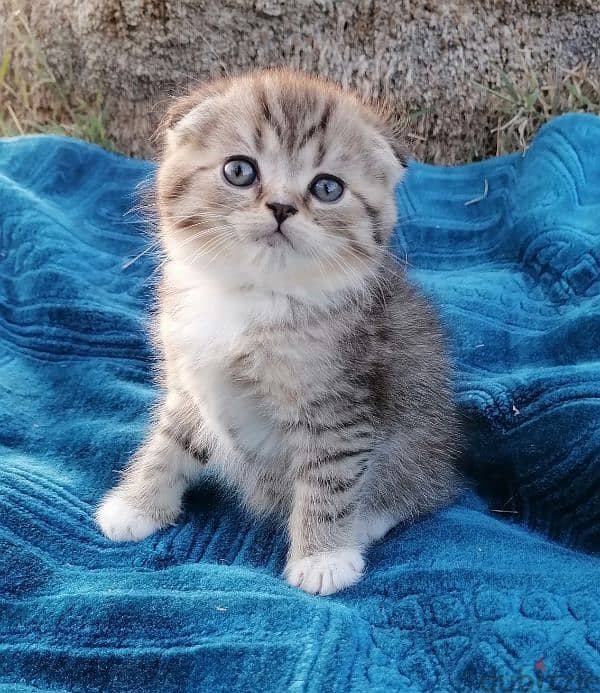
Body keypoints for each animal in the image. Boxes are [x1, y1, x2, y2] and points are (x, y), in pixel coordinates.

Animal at [97, 69, 460, 596]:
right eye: (240, 171)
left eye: (327, 187)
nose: (283, 207)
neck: (252, 297)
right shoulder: (187, 381)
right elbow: (169, 442)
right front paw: (136, 503)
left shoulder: (337, 406)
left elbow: (329, 479)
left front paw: (323, 557)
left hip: (419, 440)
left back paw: (368, 520)